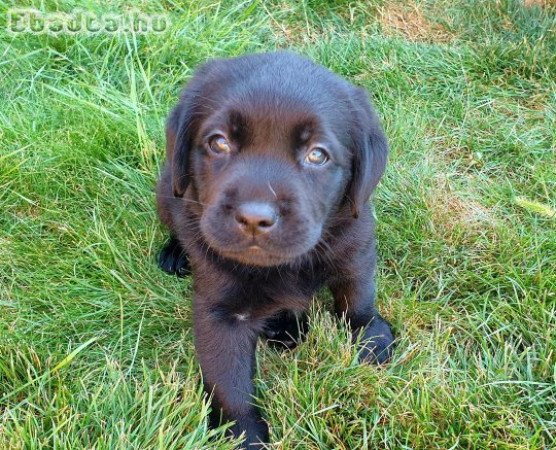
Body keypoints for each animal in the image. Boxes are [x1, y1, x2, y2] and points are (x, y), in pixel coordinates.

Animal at [154, 51, 394, 446]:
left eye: (317, 155)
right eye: (219, 143)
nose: (254, 218)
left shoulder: (357, 244)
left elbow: (356, 293)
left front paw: (370, 335)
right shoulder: (221, 313)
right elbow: (229, 384)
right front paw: (244, 436)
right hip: (167, 188)